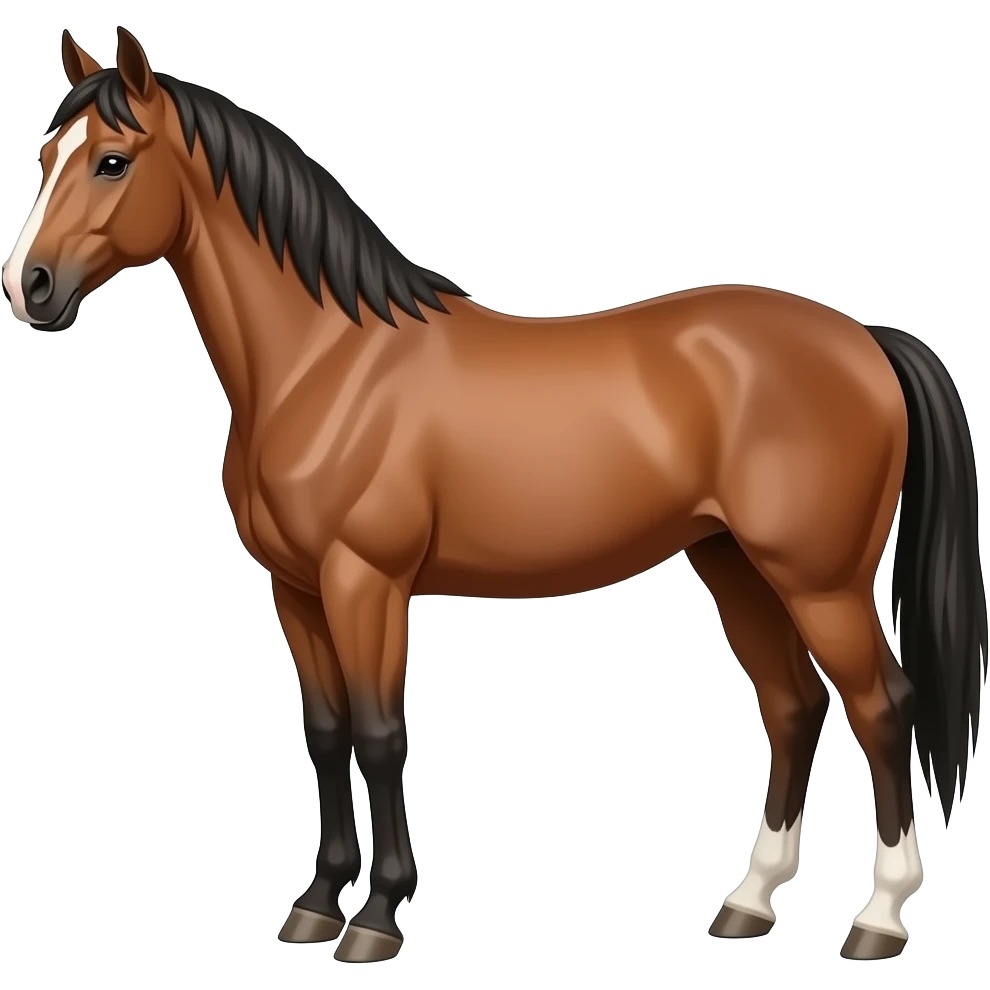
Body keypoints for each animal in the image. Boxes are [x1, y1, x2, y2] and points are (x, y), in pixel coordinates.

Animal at [5, 26, 986, 965]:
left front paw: (378, 919)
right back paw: (747, 904)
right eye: (45, 157)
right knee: (792, 708)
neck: (326, 363)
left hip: (820, 581)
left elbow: (378, 734)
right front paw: (317, 904)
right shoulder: (295, 589)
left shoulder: (367, 582)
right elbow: (325, 734)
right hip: (734, 564)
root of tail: (865, 338)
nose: (31, 288)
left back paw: (878, 919)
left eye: (112, 161)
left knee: (882, 708)